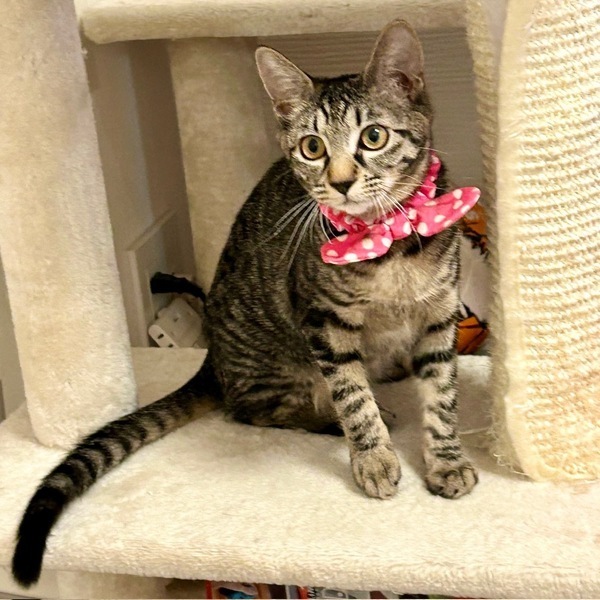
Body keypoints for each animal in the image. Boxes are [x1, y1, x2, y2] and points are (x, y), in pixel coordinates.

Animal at [12, 19, 478, 588]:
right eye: (311, 147)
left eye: (373, 136)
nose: (342, 181)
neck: (389, 244)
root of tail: (212, 358)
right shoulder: (322, 320)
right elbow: (352, 395)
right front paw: (372, 457)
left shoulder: (439, 316)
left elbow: (442, 395)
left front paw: (446, 460)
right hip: (277, 359)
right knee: (255, 409)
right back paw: (333, 419)